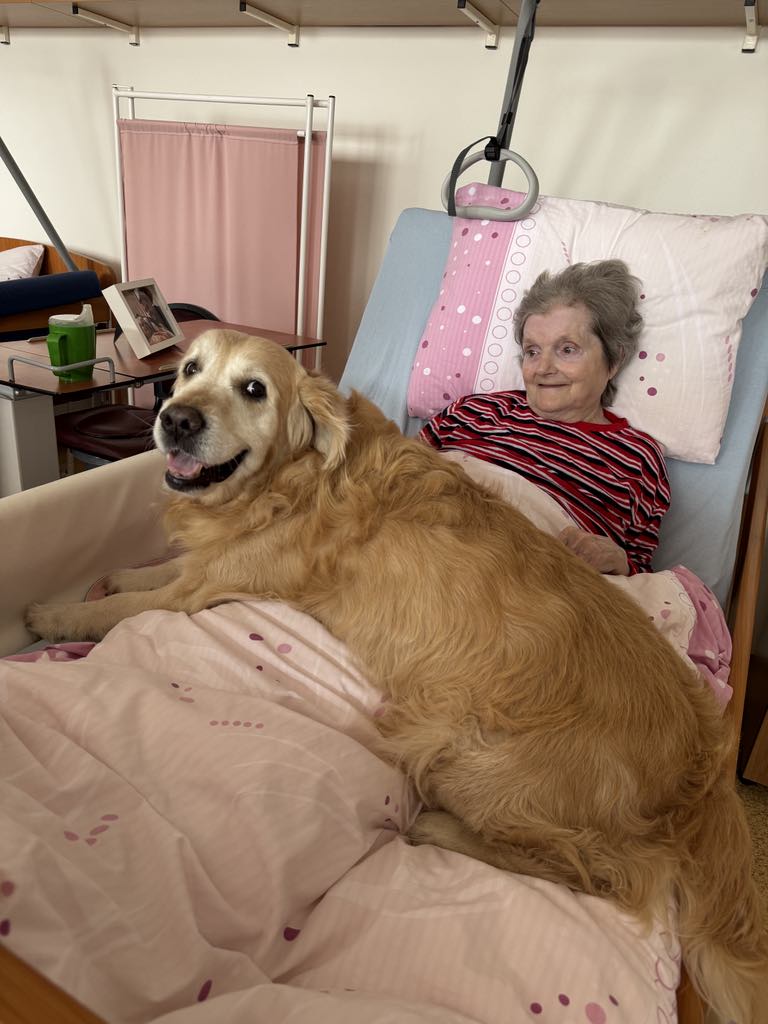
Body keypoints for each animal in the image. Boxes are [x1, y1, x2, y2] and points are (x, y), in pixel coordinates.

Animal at [27, 329, 768, 1021]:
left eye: (253, 390)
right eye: (189, 370)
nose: (175, 418)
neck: (295, 481)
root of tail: (704, 756)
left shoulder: (206, 588)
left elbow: (126, 606)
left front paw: (50, 611)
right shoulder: (204, 567)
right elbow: (148, 573)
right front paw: (107, 575)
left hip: (467, 758)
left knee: (606, 875)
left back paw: (442, 832)